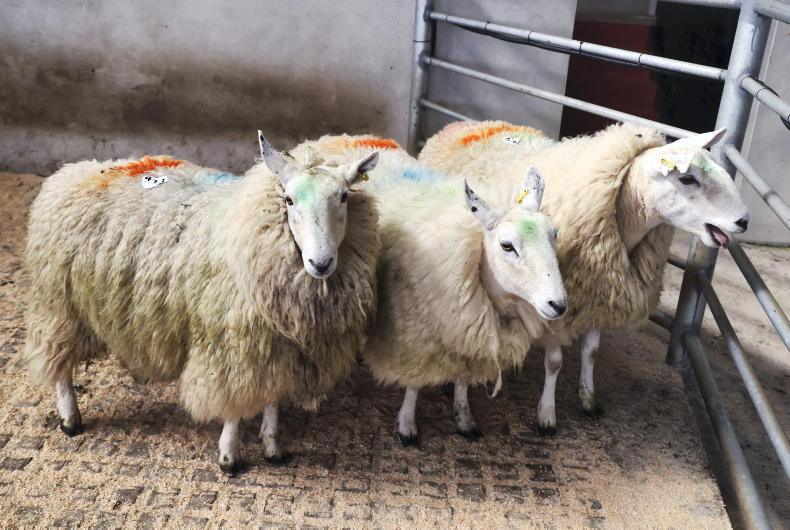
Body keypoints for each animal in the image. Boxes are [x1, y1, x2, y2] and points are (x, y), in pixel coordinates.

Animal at [23, 133, 381, 474]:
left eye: (344, 196)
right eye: (289, 199)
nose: (321, 263)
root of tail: (75, 169)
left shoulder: (277, 345)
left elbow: (272, 399)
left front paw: (272, 446)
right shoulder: (231, 345)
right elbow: (233, 406)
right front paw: (229, 457)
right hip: (58, 304)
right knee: (59, 363)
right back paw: (69, 419)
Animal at [294, 134, 567, 443]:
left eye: (554, 235)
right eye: (507, 246)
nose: (559, 304)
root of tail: (341, 137)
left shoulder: (466, 330)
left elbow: (463, 376)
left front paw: (463, 416)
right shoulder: (415, 333)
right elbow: (414, 382)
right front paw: (407, 425)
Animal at [420, 120, 750, 432]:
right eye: (687, 178)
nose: (744, 221)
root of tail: (463, 125)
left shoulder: (600, 293)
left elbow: (591, 351)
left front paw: (589, 399)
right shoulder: (561, 304)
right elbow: (554, 362)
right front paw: (547, 415)